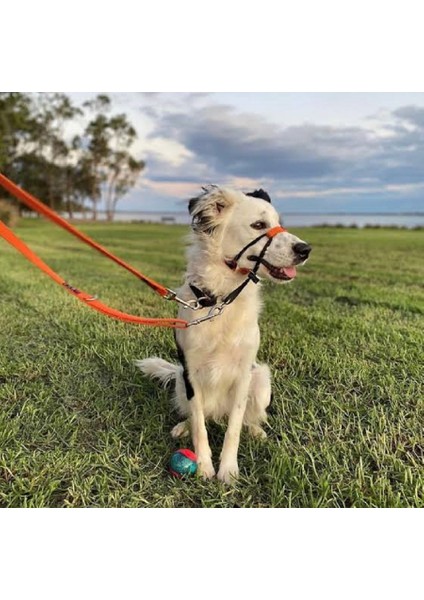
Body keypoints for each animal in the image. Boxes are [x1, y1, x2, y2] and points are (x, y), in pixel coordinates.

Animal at [137, 188, 312, 482]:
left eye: (279, 222)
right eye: (258, 225)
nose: (305, 249)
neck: (220, 301)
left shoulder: (243, 374)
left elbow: (234, 428)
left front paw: (228, 470)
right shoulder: (191, 373)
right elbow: (199, 425)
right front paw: (204, 466)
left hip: (261, 380)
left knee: (249, 417)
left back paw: (256, 430)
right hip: (180, 382)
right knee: (197, 416)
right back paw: (183, 427)